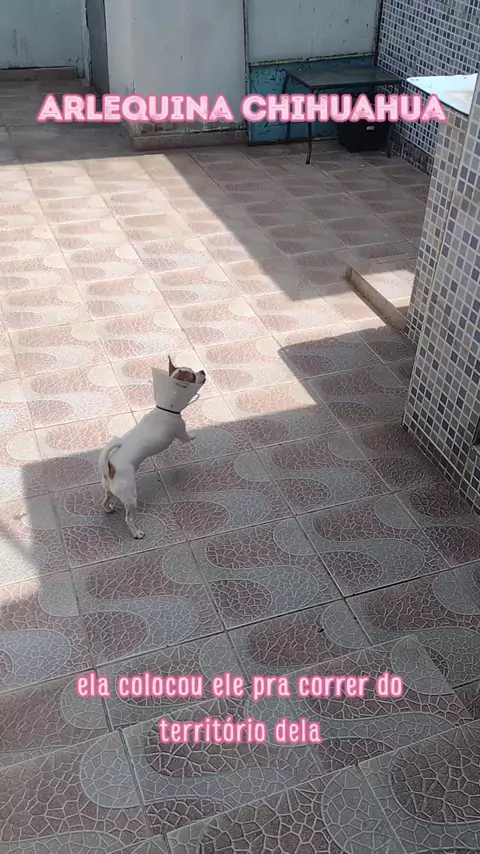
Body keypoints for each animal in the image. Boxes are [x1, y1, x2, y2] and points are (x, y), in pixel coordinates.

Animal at [99, 356, 206, 538]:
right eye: (193, 376)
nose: (203, 371)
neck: (166, 409)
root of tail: (111, 468)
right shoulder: (181, 433)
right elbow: (187, 437)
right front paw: (195, 434)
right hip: (130, 497)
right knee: (129, 518)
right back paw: (137, 533)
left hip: (110, 490)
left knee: (106, 500)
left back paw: (108, 508)